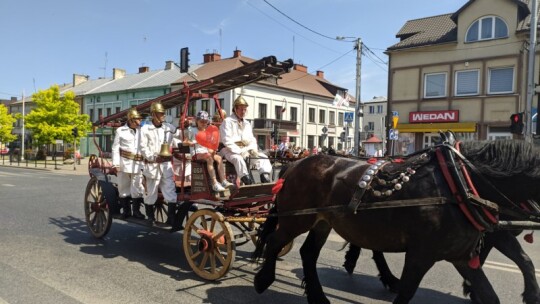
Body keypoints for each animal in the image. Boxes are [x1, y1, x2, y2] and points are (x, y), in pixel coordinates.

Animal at [254, 141, 540, 304]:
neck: (461, 185)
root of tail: (295, 164)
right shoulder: (422, 254)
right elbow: (406, 292)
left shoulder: (461, 255)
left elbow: (495, 289)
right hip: (298, 218)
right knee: (275, 240)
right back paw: (264, 279)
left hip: (322, 222)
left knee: (308, 253)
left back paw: (319, 296)